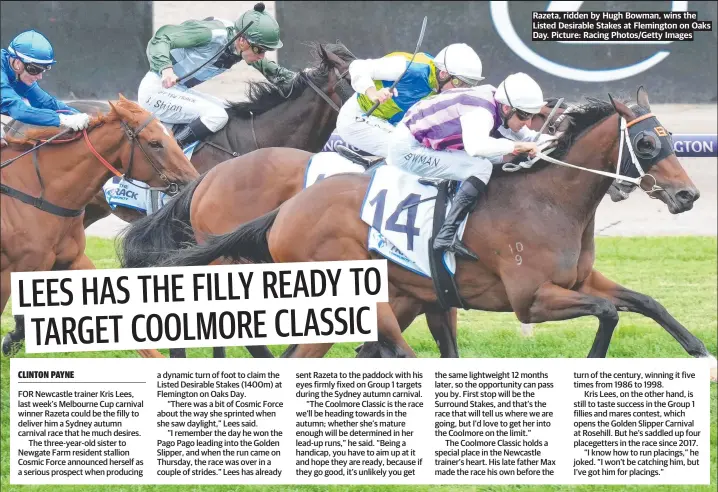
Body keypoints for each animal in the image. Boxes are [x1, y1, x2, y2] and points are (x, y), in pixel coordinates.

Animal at [155, 86, 716, 380]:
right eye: (645, 143)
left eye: (670, 137)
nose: (688, 195)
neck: (548, 200)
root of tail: (286, 211)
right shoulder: (530, 299)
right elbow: (606, 313)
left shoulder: (578, 281)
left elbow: (646, 302)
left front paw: (702, 354)